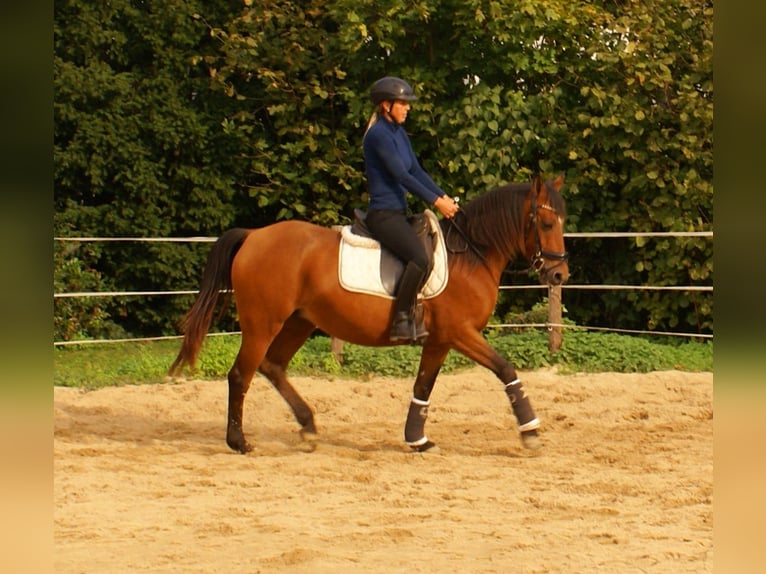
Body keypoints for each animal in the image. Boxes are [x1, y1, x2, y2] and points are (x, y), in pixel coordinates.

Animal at [171, 174, 572, 454]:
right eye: (547, 224)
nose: (559, 275)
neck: (470, 254)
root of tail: (254, 236)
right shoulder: (460, 333)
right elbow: (505, 369)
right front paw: (531, 431)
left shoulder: (441, 339)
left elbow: (423, 386)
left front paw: (417, 439)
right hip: (262, 323)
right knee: (241, 375)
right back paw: (239, 441)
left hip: (299, 321)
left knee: (273, 367)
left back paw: (308, 426)